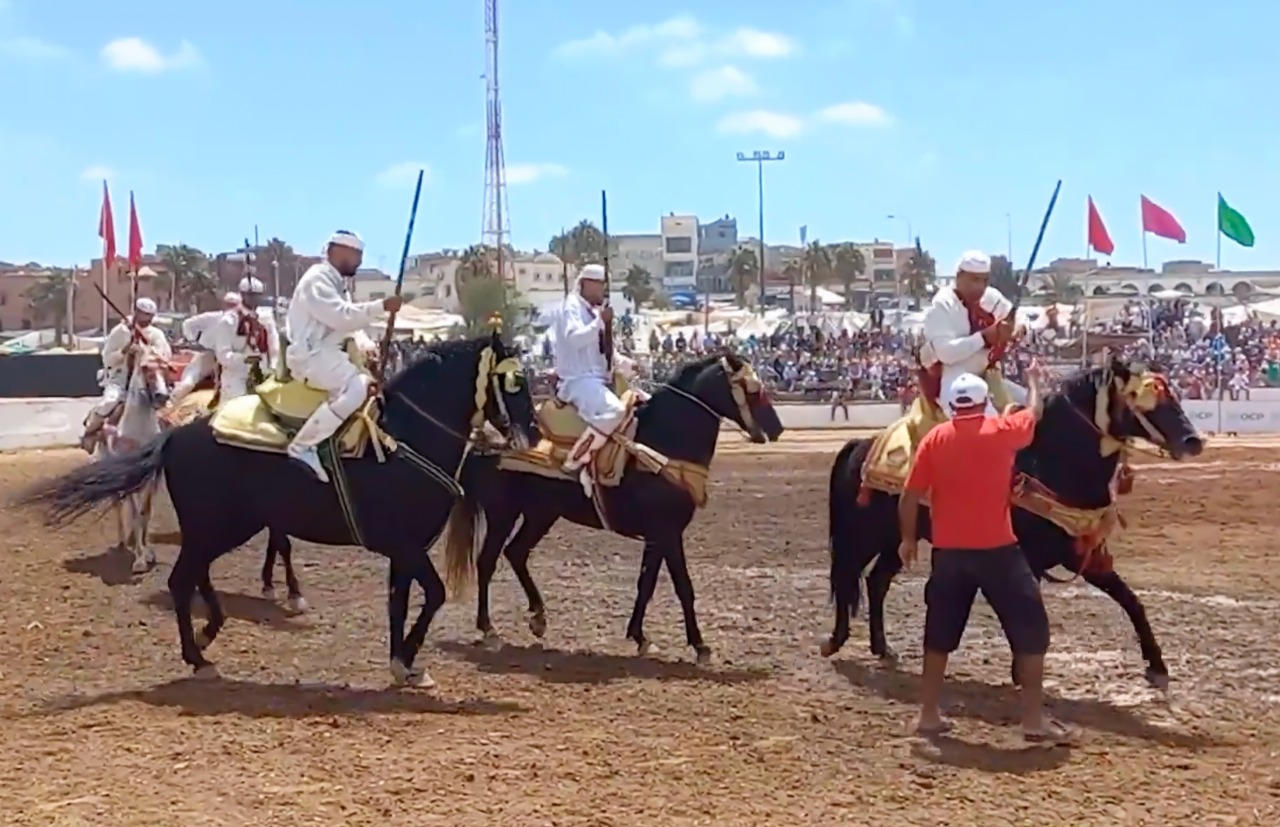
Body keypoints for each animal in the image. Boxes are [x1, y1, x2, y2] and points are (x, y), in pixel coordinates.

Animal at [92, 350, 171, 576]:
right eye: (145, 368)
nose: (162, 396)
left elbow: (145, 512)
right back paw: (121, 542)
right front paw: (139, 559)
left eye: (166, 368)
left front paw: (148, 552)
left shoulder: (151, 478)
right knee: (118, 504)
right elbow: (135, 514)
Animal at [445, 353, 783, 665]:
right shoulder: (667, 533)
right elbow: (683, 586)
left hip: (540, 514)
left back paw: (538, 618)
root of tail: (485, 441)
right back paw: (488, 629)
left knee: (516, 553)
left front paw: (640, 637)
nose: (777, 428)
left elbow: (647, 583)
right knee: (487, 561)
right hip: (503, 514)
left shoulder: (658, 536)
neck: (661, 445)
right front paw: (700, 646)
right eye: (753, 389)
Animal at [824, 358, 1203, 691]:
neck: (1049, 462)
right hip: (862, 536)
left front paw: (1157, 666)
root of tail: (860, 444)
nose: (1192, 441)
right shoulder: (1030, 559)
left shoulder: (1082, 557)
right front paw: (1022, 671)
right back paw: (835, 641)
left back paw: (882, 648)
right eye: (1140, 396)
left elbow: (1131, 601)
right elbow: (1024, 611)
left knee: (876, 582)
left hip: (898, 540)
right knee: (847, 576)